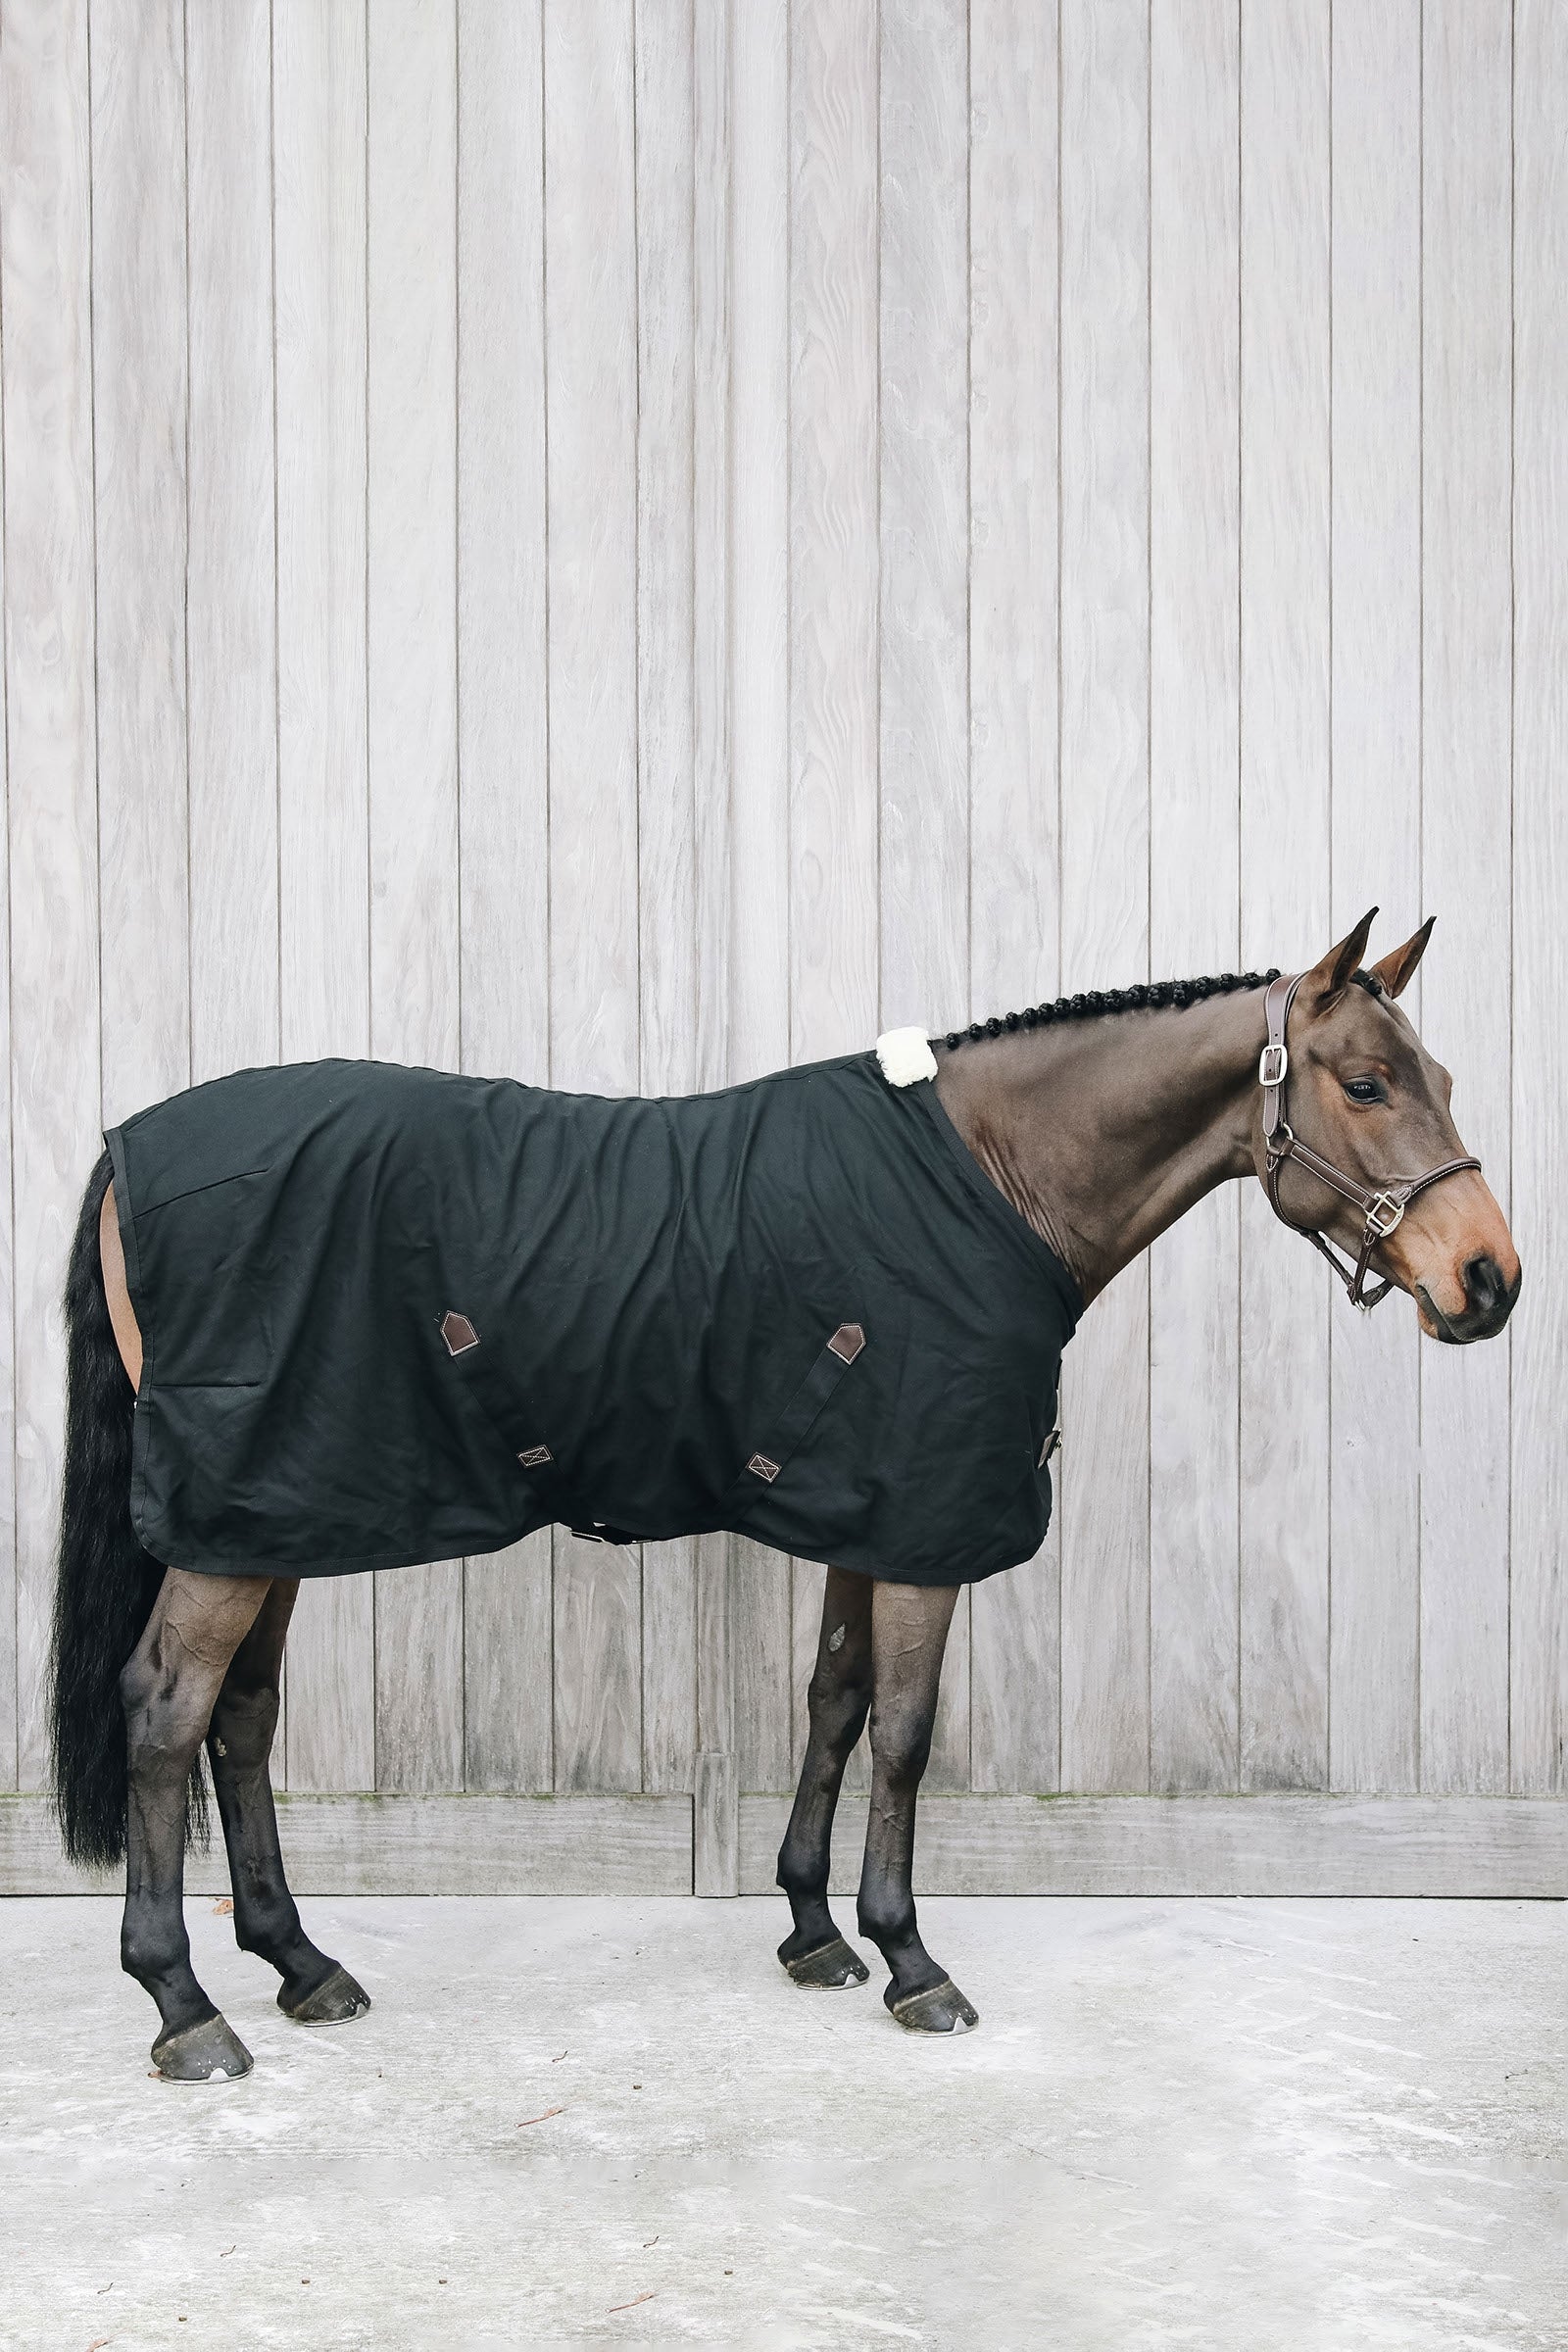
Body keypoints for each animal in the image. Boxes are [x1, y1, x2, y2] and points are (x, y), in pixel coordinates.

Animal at [47, 906, 1519, 2080]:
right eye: (1368, 1083)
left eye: (1439, 1076)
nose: (1489, 1280)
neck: (989, 1179)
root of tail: (127, 1147)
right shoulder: (925, 1531)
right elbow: (908, 1734)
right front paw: (912, 1961)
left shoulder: (868, 1512)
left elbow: (835, 1702)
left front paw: (813, 1931)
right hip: (235, 1526)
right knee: (167, 1711)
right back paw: (184, 2005)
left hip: (276, 1513)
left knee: (241, 1717)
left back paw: (300, 1965)